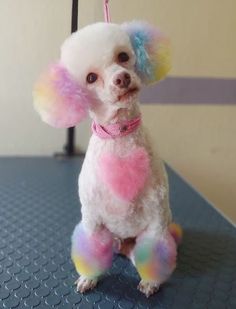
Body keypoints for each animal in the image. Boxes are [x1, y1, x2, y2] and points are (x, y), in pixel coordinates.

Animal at [33, 21, 181, 296]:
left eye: (122, 56)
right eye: (91, 77)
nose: (122, 78)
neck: (119, 136)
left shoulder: (156, 220)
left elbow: (155, 253)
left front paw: (151, 281)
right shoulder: (92, 220)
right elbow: (90, 250)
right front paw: (88, 278)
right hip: (110, 237)